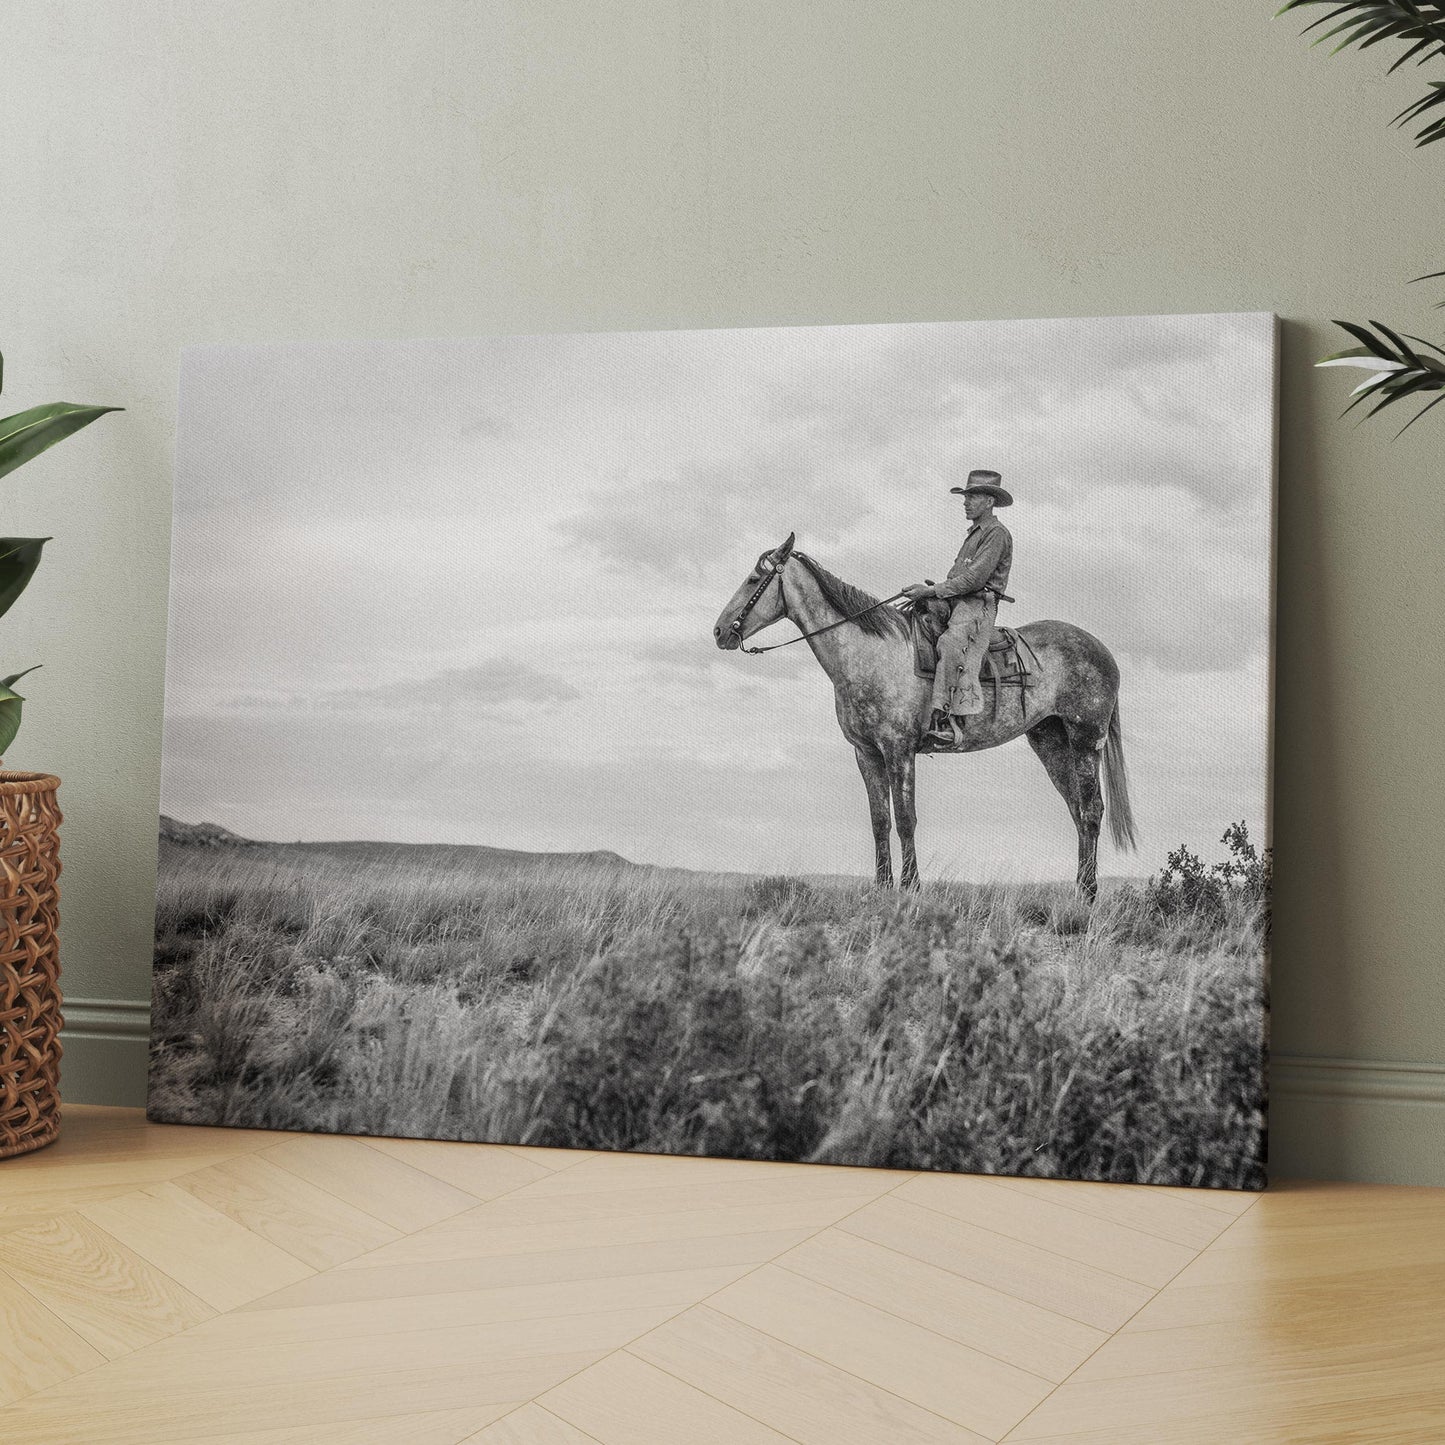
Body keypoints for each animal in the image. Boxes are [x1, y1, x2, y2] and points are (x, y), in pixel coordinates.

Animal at [716, 531, 1132, 895]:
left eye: (754, 578)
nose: (720, 632)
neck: (871, 655)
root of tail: (1103, 651)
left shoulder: (898, 749)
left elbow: (905, 819)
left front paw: (911, 887)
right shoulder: (866, 753)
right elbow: (880, 820)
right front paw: (882, 887)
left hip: (1085, 740)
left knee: (1091, 810)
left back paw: (1089, 894)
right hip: (1050, 741)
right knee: (1077, 810)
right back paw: (1080, 890)